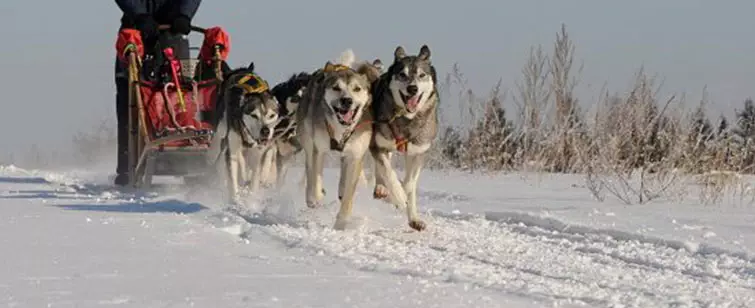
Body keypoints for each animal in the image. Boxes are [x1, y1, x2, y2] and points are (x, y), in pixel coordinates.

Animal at [207, 61, 280, 203]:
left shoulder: (257, 154)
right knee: (217, 146)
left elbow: (255, 179)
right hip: (221, 130)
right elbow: (233, 180)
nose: (265, 131)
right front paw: (235, 202)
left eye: (271, 115)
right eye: (254, 115)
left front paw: (251, 199)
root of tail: (242, 70)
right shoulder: (232, 150)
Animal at [298, 50, 384, 229]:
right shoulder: (318, 149)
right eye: (336, 88)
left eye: (357, 89)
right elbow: (315, 177)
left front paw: (342, 222)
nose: (347, 100)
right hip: (308, 140)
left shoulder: (355, 155)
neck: (341, 129)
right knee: (310, 168)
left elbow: (349, 194)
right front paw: (315, 197)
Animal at [370, 45, 440, 231]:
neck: (406, 119)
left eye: (422, 75)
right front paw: (397, 196)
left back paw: (413, 218)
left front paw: (403, 197)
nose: (412, 89)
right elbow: (388, 172)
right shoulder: (377, 145)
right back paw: (382, 189)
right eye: (402, 74)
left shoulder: (418, 153)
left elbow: (410, 184)